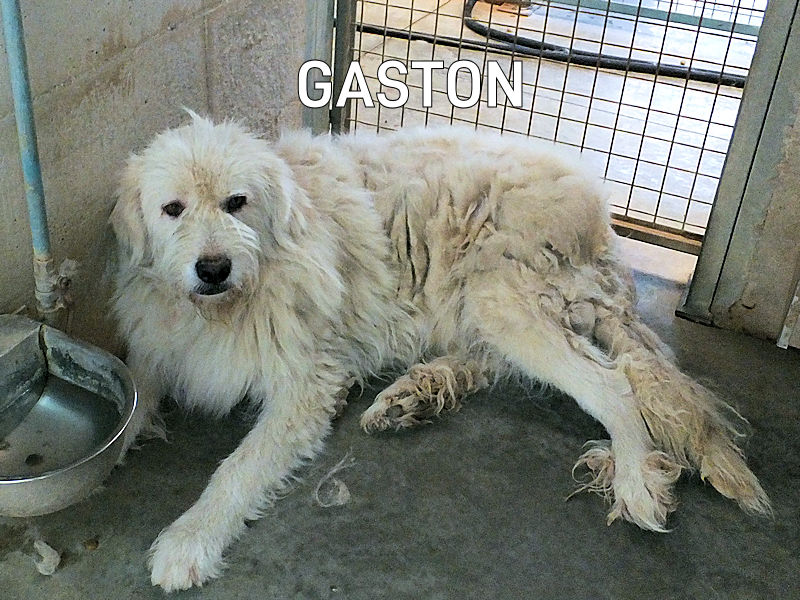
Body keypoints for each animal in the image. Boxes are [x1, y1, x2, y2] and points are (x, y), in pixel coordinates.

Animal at [110, 114, 770, 591]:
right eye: (173, 209)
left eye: (236, 203)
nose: (213, 268)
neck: (230, 303)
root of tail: (604, 229)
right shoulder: (161, 348)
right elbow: (135, 392)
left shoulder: (305, 384)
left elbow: (235, 470)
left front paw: (188, 540)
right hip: (486, 307)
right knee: (495, 363)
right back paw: (411, 397)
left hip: (499, 297)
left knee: (612, 385)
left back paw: (634, 480)